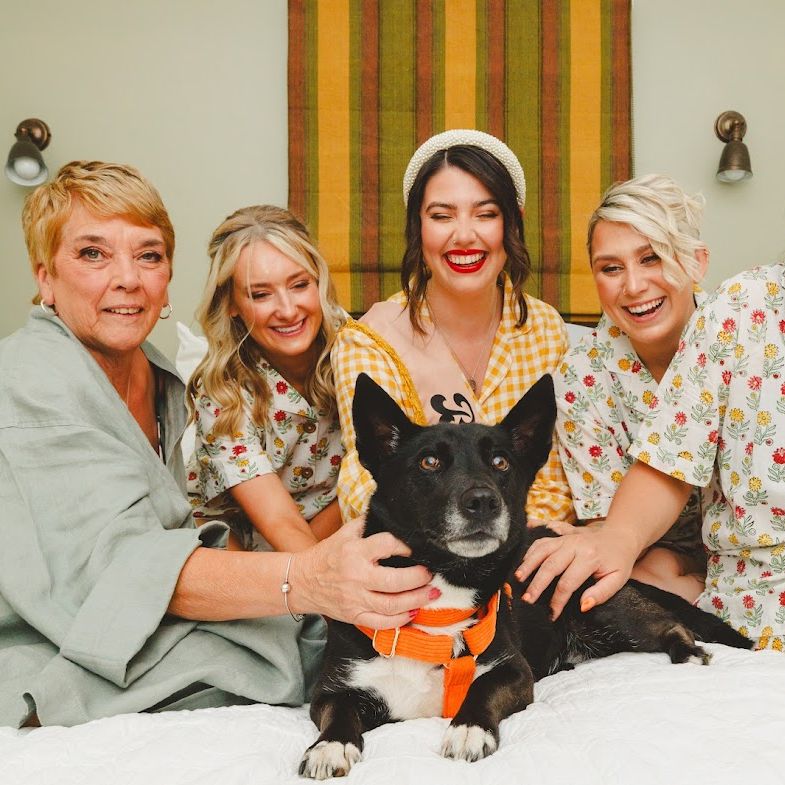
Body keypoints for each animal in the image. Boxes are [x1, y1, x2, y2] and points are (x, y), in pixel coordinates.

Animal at [298, 373, 751, 779]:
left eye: (500, 462)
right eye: (429, 461)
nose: (483, 501)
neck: (445, 594)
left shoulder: (513, 672)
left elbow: (483, 689)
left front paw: (468, 729)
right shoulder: (332, 691)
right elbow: (338, 713)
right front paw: (329, 746)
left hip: (601, 606)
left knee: (668, 624)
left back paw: (686, 651)